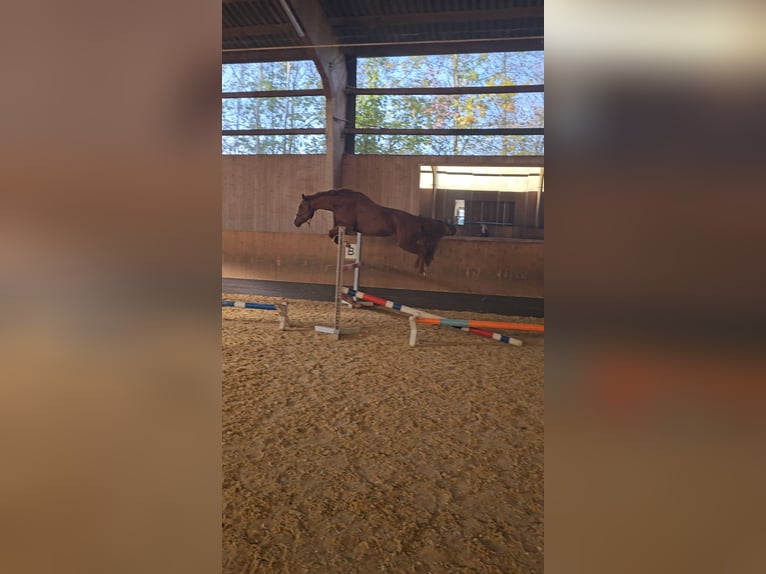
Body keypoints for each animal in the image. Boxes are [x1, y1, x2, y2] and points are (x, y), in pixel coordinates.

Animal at [294, 189, 456, 276]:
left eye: (301, 207)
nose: (295, 222)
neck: (340, 203)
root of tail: (417, 220)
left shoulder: (348, 226)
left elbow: (330, 232)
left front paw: (345, 244)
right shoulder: (344, 227)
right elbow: (333, 234)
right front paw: (342, 243)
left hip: (405, 243)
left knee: (422, 250)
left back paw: (422, 271)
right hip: (408, 243)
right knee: (424, 251)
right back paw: (419, 267)